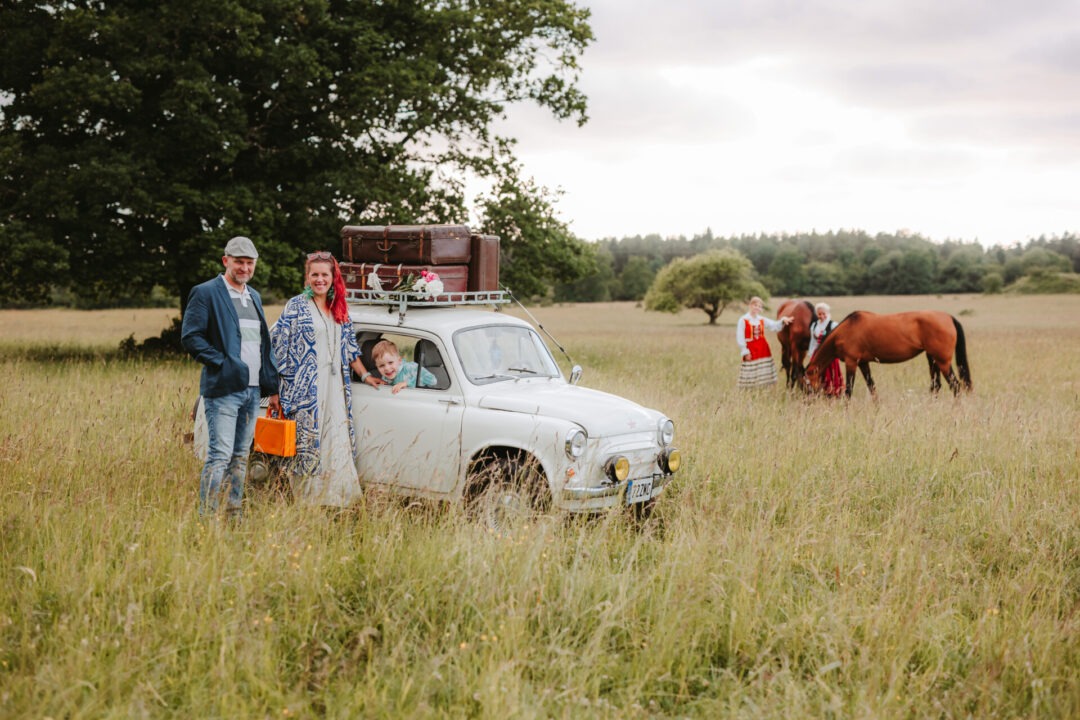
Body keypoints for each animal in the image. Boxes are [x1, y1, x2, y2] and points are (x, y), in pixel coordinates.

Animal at [807, 310, 976, 399]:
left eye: (807, 383)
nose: (808, 401)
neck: (846, 330)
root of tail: (948, 317)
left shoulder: (851, 362)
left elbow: (849, 390)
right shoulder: (863, 363)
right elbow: (872, 387)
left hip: (942, 361)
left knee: (955, 386)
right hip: (932, 359)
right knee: (936, 386)